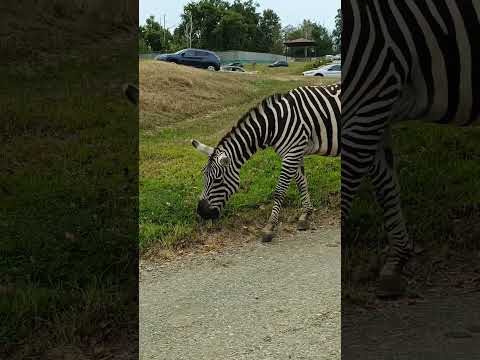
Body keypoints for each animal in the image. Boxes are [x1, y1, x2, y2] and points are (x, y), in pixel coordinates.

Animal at [191, 83, 342, 242]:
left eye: (218, 180)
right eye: (204, 176)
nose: (201, 213)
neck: (274, 124)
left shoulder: (292, 153)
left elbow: (279, 191)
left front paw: (270, 226)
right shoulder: (296, 151)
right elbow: (302, 183)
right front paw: (306, 214)